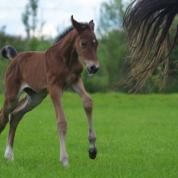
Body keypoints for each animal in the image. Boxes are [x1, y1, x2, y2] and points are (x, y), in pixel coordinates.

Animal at [0, 15, 100, 167]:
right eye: (83, 43)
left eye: (96, 43)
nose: (94, 68)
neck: (66, 59)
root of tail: (15, 58)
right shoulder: (54, 88)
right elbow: (61, 122)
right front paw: (64, 160)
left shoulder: (75, 82)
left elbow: (88, 102)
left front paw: (92, 150)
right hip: (12, 95)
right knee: (4, 116)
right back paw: (8, 154)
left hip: (35, 97)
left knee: (16, 115)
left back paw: (9, 155)